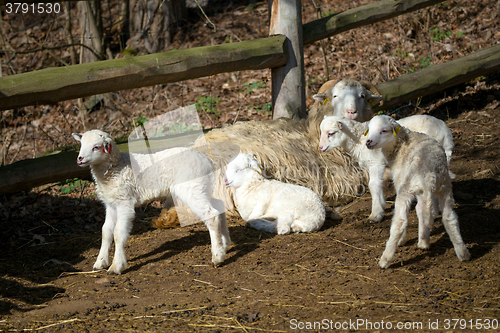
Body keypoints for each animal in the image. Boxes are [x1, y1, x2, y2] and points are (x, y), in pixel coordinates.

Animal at [73, 128, 232, 274]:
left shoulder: (125, 201)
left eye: (96, 146)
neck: (116, 167)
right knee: (219, 206)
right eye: (81, 144)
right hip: (203, 187)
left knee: (211, 214)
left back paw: (217, 256)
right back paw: (225, 244)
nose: (79, 159)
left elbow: (118, 233)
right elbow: (106, 231)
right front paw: (100, 262)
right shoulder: (111, 203)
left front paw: (116, 266)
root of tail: (207, 161)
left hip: (192, 187)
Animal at [364, 115, 468, 268]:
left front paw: (402, 240)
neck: (401, 145)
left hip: (407, 189)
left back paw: (385, 259)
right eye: (369, 130)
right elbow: (421, 211)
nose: (368, 142)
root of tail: (430, 173)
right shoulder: (422, 192)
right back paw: (462, 253)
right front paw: (424, 239)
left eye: (384, 130)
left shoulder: (400, 182)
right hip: (443, 187)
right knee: (449, 217)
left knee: (400, 221)